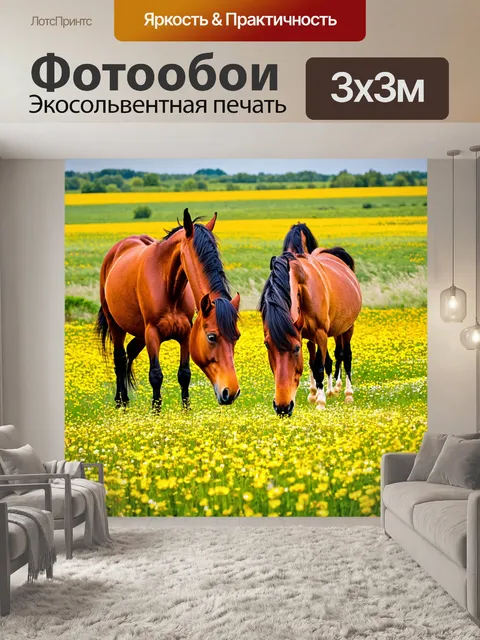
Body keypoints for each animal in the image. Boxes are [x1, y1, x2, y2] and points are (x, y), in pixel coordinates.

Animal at [95, 208, 241, 411]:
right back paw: (121, 402)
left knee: (129, 352)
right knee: (120, 360)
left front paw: (186, 412)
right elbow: (156, 375)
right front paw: (156, 412)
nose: (230, 392)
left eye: (236, 337)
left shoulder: (185, 333)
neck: (169, 286)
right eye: (212, 337)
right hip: (116, 325)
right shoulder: (152, 333)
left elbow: (184, 374)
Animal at [260, 249, 361, 416]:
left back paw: (347, 394)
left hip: (347, 328)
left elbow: (319, 367)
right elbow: (313, 364)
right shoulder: (305, 336)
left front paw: (321, 402)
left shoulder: (320, 333)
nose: (282, 407)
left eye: (296, 348)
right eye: (267, 345)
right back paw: (327, 391)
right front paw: (315, 395)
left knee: (345, 356)